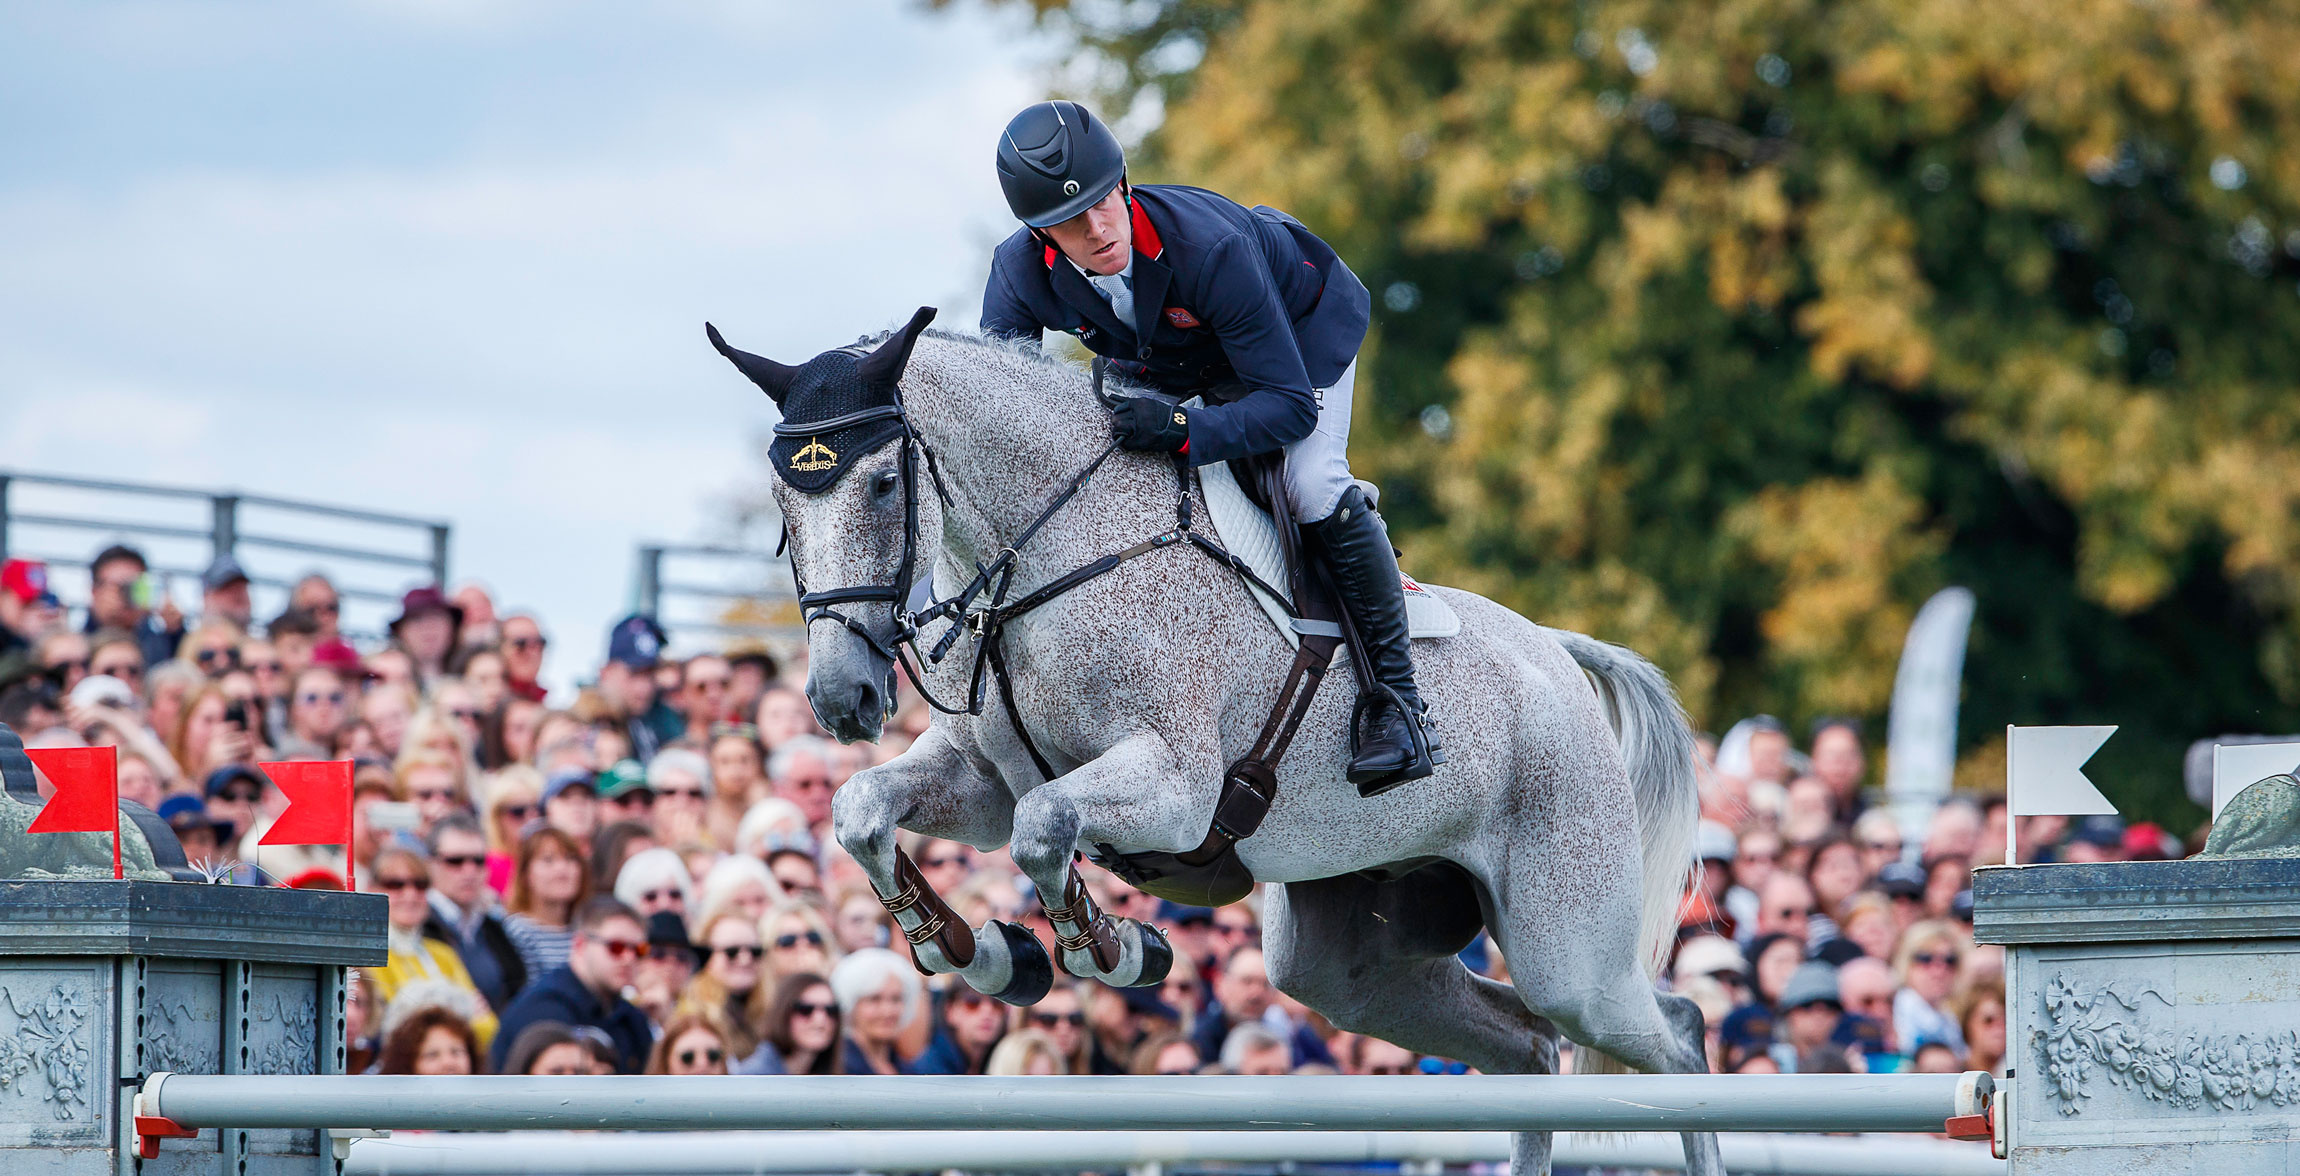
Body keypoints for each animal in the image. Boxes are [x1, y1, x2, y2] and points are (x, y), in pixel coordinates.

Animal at [722, 312, 1729, 1176]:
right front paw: (979, 952)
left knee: (1672, 1031)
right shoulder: (981, 783)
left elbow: (1044, 828)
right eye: (782, 501)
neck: (1048, 557)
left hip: (1571, 946)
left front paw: (1112, 947)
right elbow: (863, 810)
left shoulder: (1175, 788)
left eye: (884, 484)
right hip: (1346, 968)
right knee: (1528, 1046)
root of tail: (1554, 655)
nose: (841, 698)